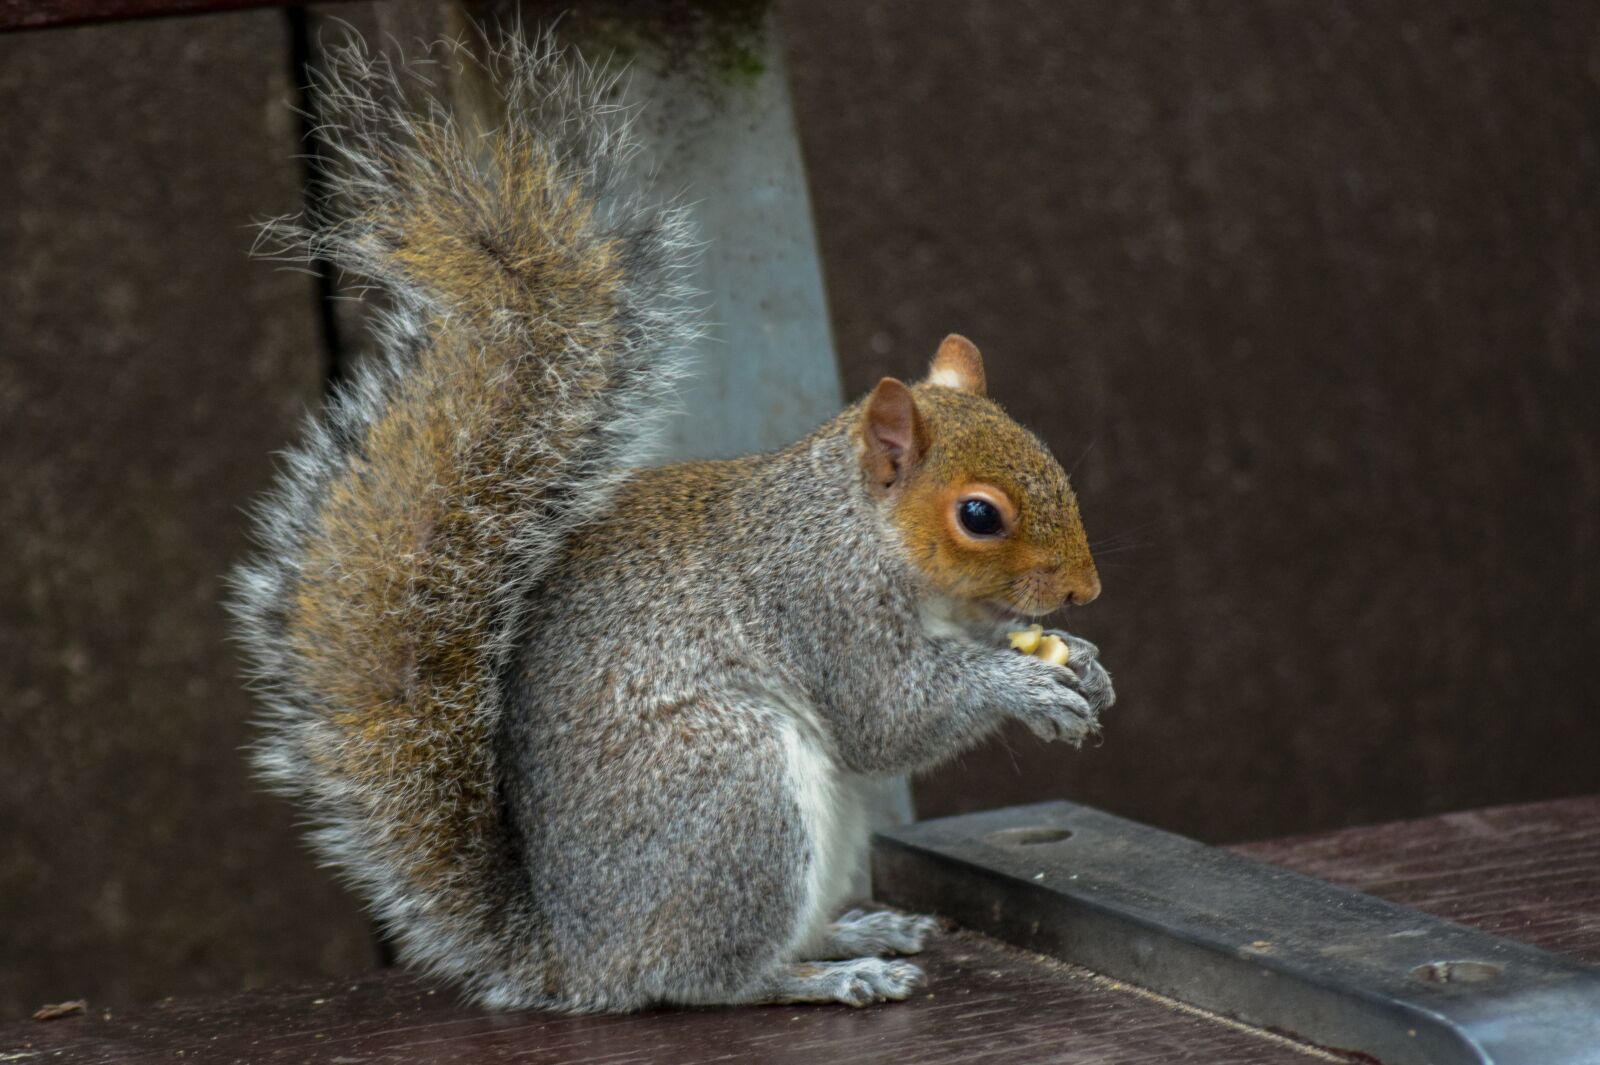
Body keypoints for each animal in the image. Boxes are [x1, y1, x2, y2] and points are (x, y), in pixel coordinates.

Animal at [228, 34, 1114, 1013]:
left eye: (1050, 458)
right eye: (979, 515)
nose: (1086, 589)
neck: (862, 530)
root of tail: (578, 955)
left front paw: (1084, 665)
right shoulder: (824, 606)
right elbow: (887, 717)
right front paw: (1023, 685)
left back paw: (855, 928)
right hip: (735, 788)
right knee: (712, 977)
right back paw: (829, 974)